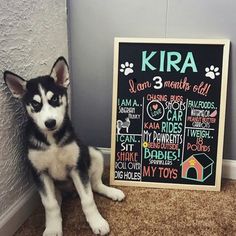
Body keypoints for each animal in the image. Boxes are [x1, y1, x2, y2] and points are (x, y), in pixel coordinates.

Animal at [4, 57, 125, 236]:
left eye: (54, 99)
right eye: (35, 104)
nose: (50, 123)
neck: (52, 140)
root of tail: (71, 191)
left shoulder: (77, 167)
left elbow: (88, 199)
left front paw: (97, 222)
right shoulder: (39, 172)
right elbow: (50, 205)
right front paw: (53, 228)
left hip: (92, 153)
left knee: (95, 185)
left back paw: (112, 192)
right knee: (57, 200)